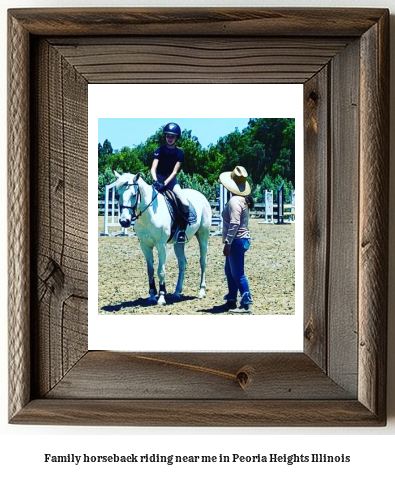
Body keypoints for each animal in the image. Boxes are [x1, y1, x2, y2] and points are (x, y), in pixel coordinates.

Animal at [113, 172, 212, 306]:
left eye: (134, 195)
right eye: (118, 194)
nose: (124, 221)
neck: (149, 215)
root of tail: (201, 195)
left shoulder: (161, 245)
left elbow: (161, 270)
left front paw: (161, 297)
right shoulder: (145, 245)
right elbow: (150, 270)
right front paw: (151, 297)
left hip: (203, 235)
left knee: (203, 261)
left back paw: (201, 291)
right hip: (178, 243)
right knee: (182, 263)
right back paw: (177, 292)